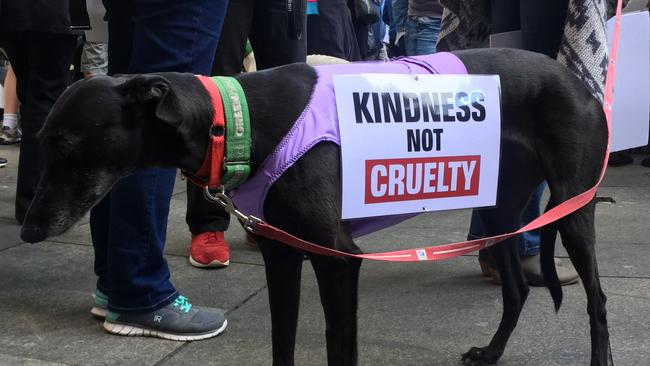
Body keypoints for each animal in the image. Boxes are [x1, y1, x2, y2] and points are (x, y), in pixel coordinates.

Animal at [20, 48, 608, 366]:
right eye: (44, 143)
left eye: (67, 146)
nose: (27, 231)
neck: (237, 120)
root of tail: (577, 80)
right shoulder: (282, 255)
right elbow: (283, 341)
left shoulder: (336, 260)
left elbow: (337, 347)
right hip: (501, 211)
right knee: (516, 291)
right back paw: (491, 352)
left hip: (574, 211)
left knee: (597, 301)